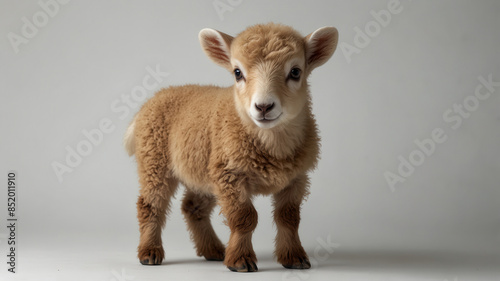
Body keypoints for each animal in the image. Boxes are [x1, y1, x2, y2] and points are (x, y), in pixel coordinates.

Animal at [124, 22, 340, 272]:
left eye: (295, 72)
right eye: (238, 73)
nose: (263, 107)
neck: (271, 144)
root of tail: (151, 101)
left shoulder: (296, 178)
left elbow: (289, 218)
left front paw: (294, 258)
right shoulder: (230, 175)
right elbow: (244, 218)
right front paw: (240, 260)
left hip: (204, 171)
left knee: (193, 207)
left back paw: (213, 250)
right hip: (154, 160)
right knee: (150, 205)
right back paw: (149, 252)